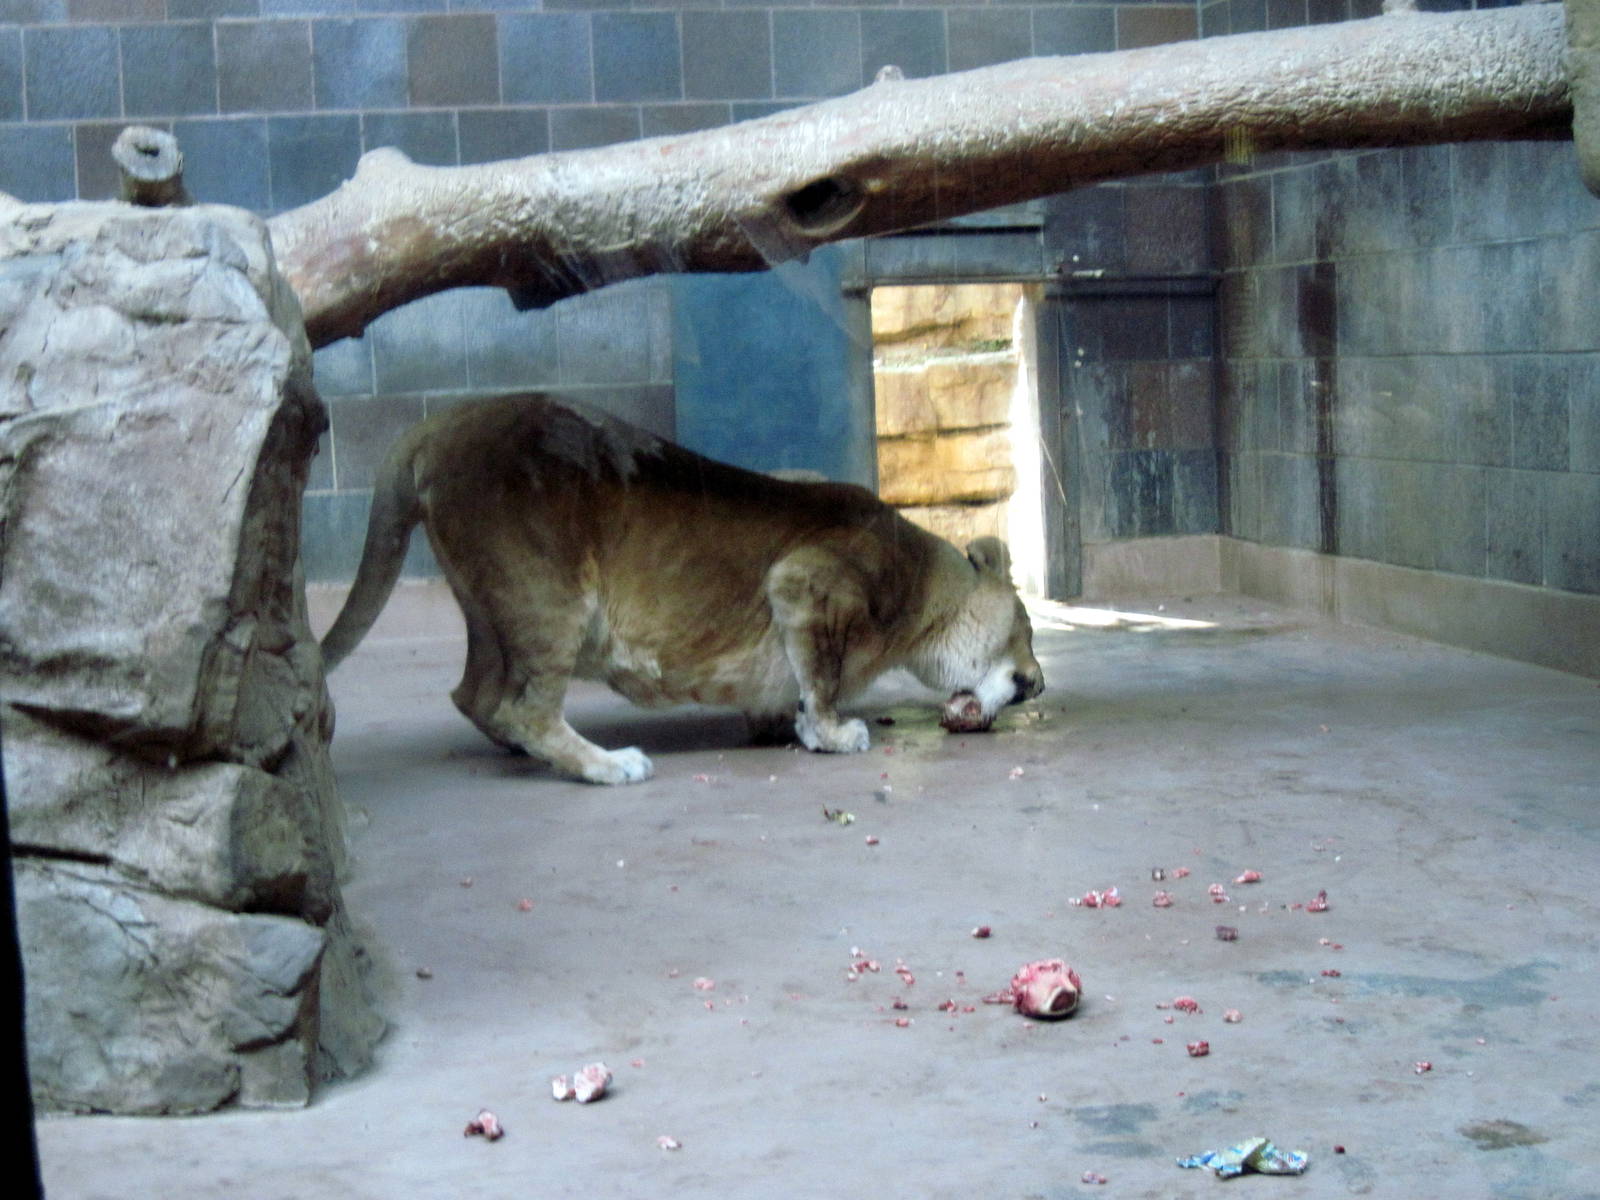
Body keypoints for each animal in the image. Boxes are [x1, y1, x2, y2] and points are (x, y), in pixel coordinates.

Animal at [320, 394, 1044, 784]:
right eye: (1028, 631)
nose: (1037, 684)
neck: (925, 590)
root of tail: (440, 424)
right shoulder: (807, 577)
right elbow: (823, 677)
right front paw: (834, 733)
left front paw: (780, 721)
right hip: (547, 593)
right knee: (522, 706)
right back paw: (609, 765)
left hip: (489, 606)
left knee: (477, 695)